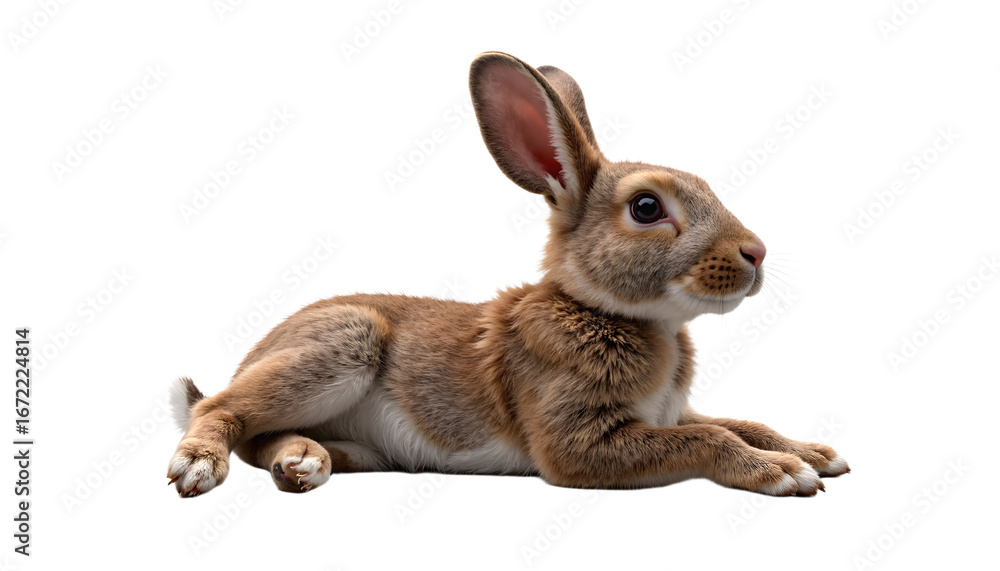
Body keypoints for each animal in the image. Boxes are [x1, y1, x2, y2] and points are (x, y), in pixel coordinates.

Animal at [167, 51, 849, 497]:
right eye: (646, 208)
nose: (756, 253)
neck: (610, 311)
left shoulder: (665, 414)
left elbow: (736, 423)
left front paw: (816, 455)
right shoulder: (579, 441)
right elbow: (708, 438)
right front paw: (785, 473)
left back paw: (308, 461)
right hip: (341, 347)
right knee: (225, 414)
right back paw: (202, 466)